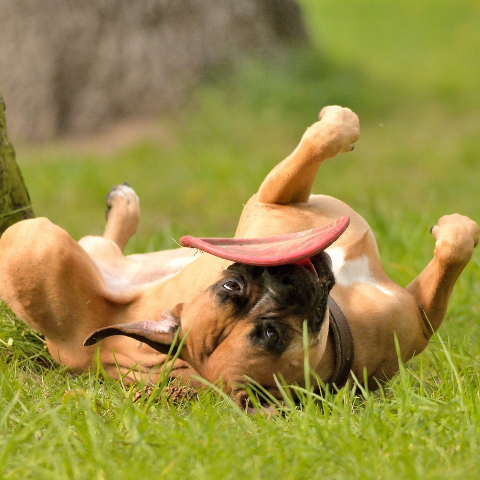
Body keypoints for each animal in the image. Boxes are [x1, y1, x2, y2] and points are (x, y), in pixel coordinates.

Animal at [0, 105, 478, 404]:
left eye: (230, 286)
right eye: (270, 335)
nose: (280, 277)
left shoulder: (417, 309)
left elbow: (455, 244)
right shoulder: (276, 196)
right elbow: (329, 133)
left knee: (105, 245)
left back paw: (122, 205)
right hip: (35, 243)